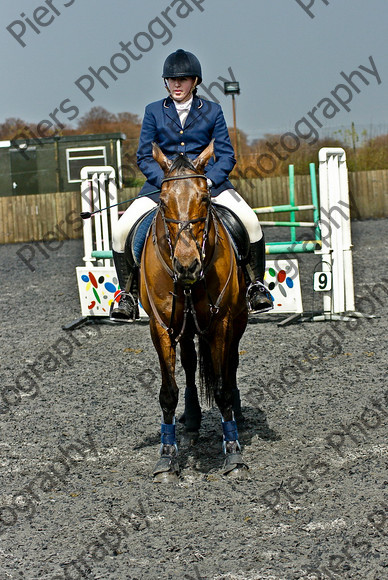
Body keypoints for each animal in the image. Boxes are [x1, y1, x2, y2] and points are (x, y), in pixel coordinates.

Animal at [139, 139, 249, 480]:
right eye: (163, 202)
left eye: (204, 197)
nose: (187, 266)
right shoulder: (161, 327)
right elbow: (168, 392)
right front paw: (166, 456)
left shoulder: (222, 322)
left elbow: (223, 386)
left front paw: (233, 452)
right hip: (185, 328)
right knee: (188, 363)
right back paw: (190, 418)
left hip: (238, 319)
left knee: (231, 361)